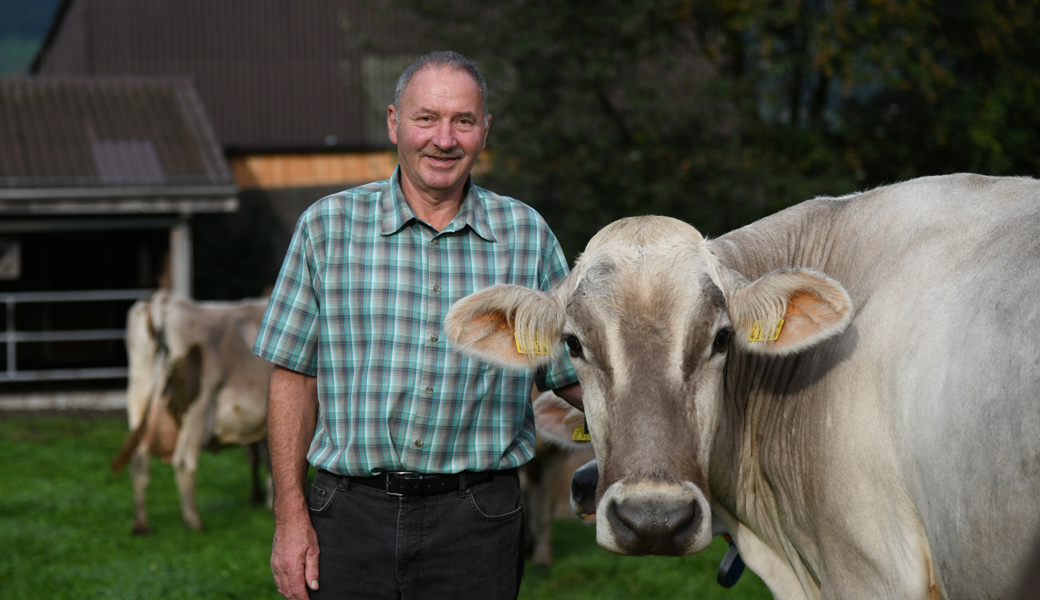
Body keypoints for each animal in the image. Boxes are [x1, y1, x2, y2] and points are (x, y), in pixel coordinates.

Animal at [111, 291, 272, 532]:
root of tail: (164, 301)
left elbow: (260, 457)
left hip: (139, 397)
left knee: (139, 461)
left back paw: (141, 523)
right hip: (198, 407)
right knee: (184, 460)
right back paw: (193, 520)